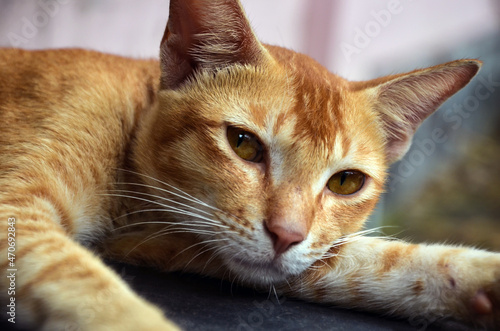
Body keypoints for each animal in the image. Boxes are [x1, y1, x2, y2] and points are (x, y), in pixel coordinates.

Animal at [0, 0, 498, 331]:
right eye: (243, 144)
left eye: (346, 181)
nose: (286, 235)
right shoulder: (16, 211)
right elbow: (87, 285)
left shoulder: (171, 240)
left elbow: (365, 259)